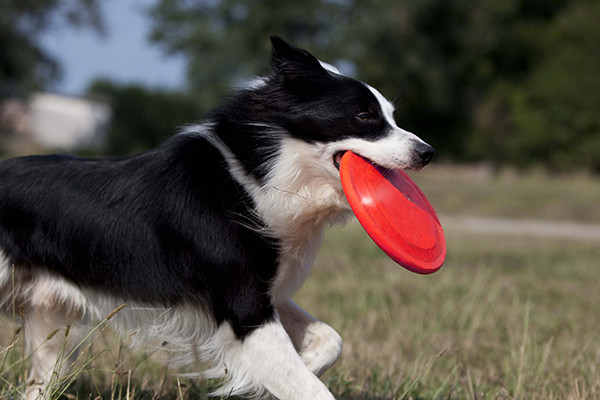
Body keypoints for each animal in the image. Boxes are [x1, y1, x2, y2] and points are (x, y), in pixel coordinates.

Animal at [0, 38, 434, 400]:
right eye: (364, 116)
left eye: (391, 116)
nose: (427, 153)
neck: (256, 178)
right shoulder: (243, 306)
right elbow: (310, 387)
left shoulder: (265, 294)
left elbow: (330, 340)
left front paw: (281, 376)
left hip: (52, 326)